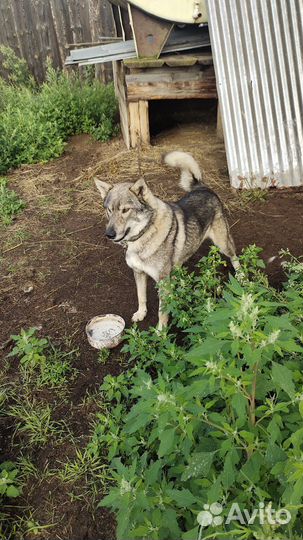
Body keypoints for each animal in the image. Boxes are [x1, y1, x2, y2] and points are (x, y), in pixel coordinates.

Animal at [95, 151, 240, 330]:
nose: (109, 234)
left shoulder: (162, 282)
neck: (144, 235)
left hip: (223, 243)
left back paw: (242, 277)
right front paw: (141, 313)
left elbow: (162, 312)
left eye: (125, 210)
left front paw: (160, 332)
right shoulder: (139, 273)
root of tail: (202, 187)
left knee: (234, 256)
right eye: (109, 210)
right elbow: (141, 296)